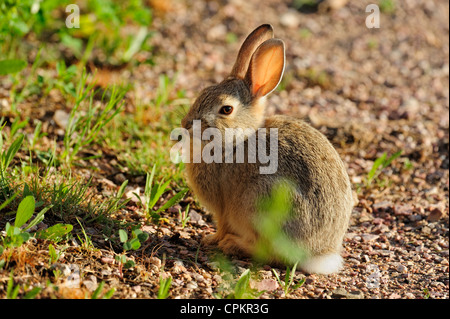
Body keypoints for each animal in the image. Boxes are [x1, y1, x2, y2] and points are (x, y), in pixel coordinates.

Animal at [181, 24, 354, 276]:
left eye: (226, 109)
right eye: (203, 92)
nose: (186, 125)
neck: (238, 139)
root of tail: (318, 255)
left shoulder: (223, 209)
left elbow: (222, 225)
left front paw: (211, 239)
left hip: (262, 202)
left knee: (269, 253)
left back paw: (232, 244)